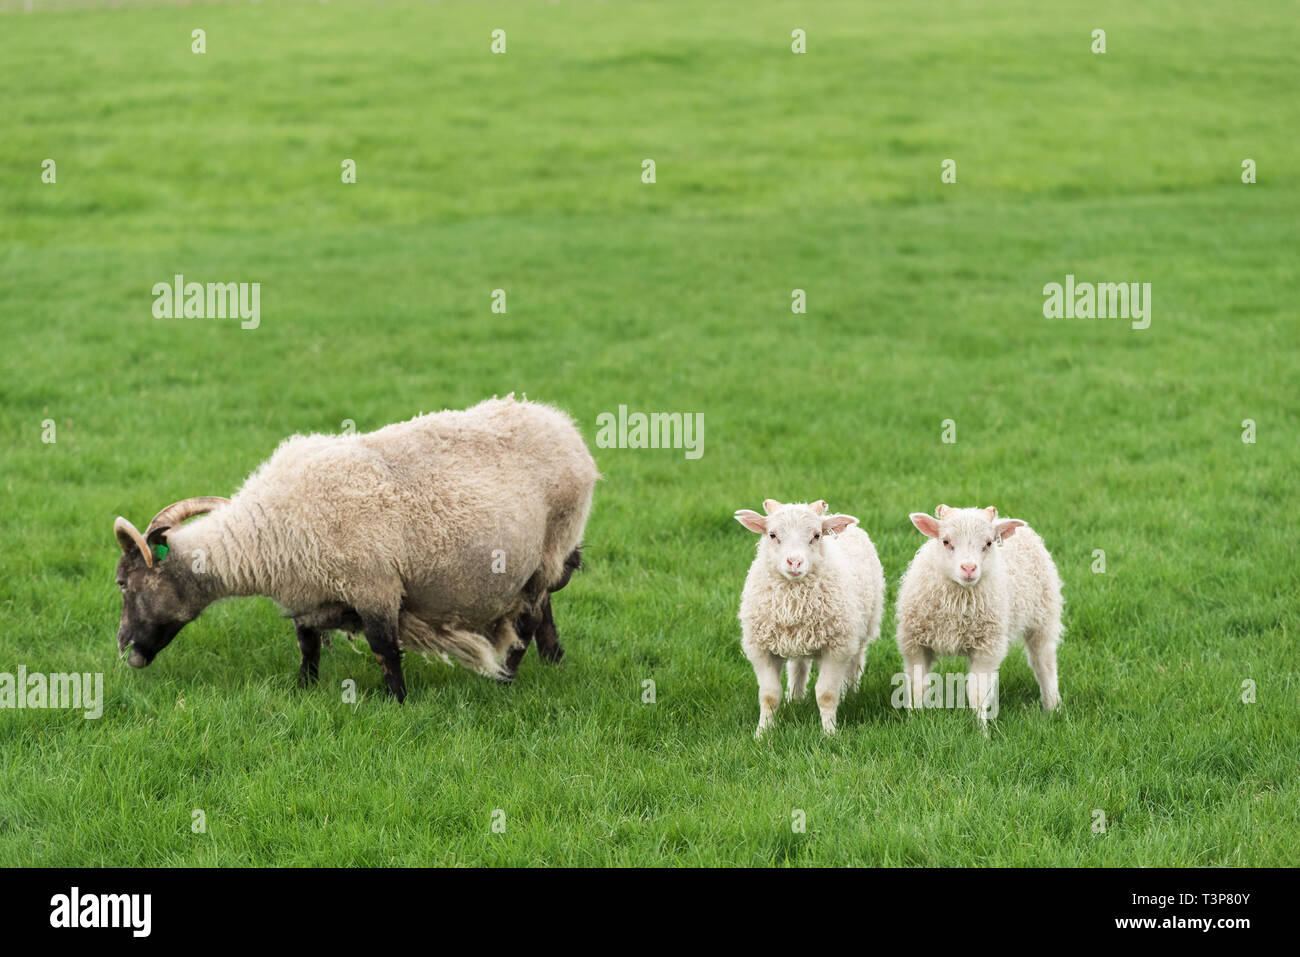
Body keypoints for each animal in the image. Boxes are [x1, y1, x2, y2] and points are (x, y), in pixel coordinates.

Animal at [112, 395, 598, 700]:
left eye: (122, 583)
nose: (122, 647)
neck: (267, 531)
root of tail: (563, 426)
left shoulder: (374, 586)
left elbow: (385, 648)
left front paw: (397, 702)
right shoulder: (307, 596)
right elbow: (307, 645)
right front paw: (304, 690)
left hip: (551, 545)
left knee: (528, 619)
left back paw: (506, 680)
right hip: (539, 562)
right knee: (542, 610)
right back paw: (553, 661)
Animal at [734, 499, 885, 737]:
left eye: (816, 535)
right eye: (772, 535)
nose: (794, 562)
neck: (794, 602)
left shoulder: (837, 648)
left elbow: (826, 694)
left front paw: (830, 733)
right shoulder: (760, 648)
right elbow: (769, 696)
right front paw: (762, 733)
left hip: (863, 626)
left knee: (856, 661)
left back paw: (850, 692)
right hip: (798, 638)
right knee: (799, 665)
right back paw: (795, 698)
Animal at [895, 505, 1063, 724]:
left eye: (989, 543)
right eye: (945, 541)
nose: (969, 568)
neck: (957, 603)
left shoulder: (987, 648)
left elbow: (977, 693)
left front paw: (980, 728)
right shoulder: (914, 644)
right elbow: (917, 687)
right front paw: (916, 720)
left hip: (1043, 619)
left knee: (1044, 665)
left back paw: (1052, 707)